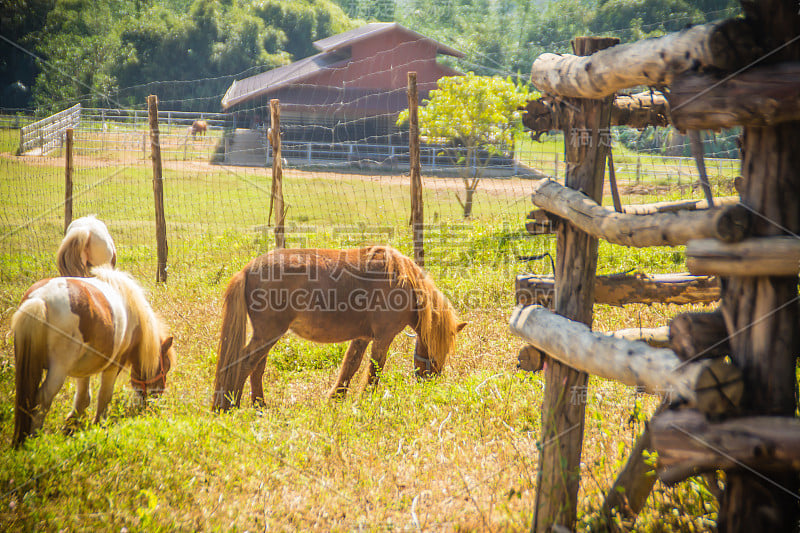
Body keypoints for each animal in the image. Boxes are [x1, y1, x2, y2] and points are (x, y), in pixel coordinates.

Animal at [12, 266, 176, 444]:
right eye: (166, 368)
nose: (156, 399)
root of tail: (40, 299)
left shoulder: (83, 368)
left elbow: (83, 398)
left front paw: (72, 425)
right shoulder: (113, 365)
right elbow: (104, 396)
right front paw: (99, 424)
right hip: (58, 369)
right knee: (43, 398)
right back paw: (34, 438)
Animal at [212, 243, 466, 410]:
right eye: (438, 351)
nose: (430, 383)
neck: (404, 282)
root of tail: (248, 270)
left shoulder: (362, 337)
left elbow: (350, 367)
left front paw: (336, 398)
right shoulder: (383, 337)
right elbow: (375, 369)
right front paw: (367, 399)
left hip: (267, 336)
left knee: (257, 367)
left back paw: (259, 406)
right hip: (268, 334)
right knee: (245, 363)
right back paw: (230, 405)